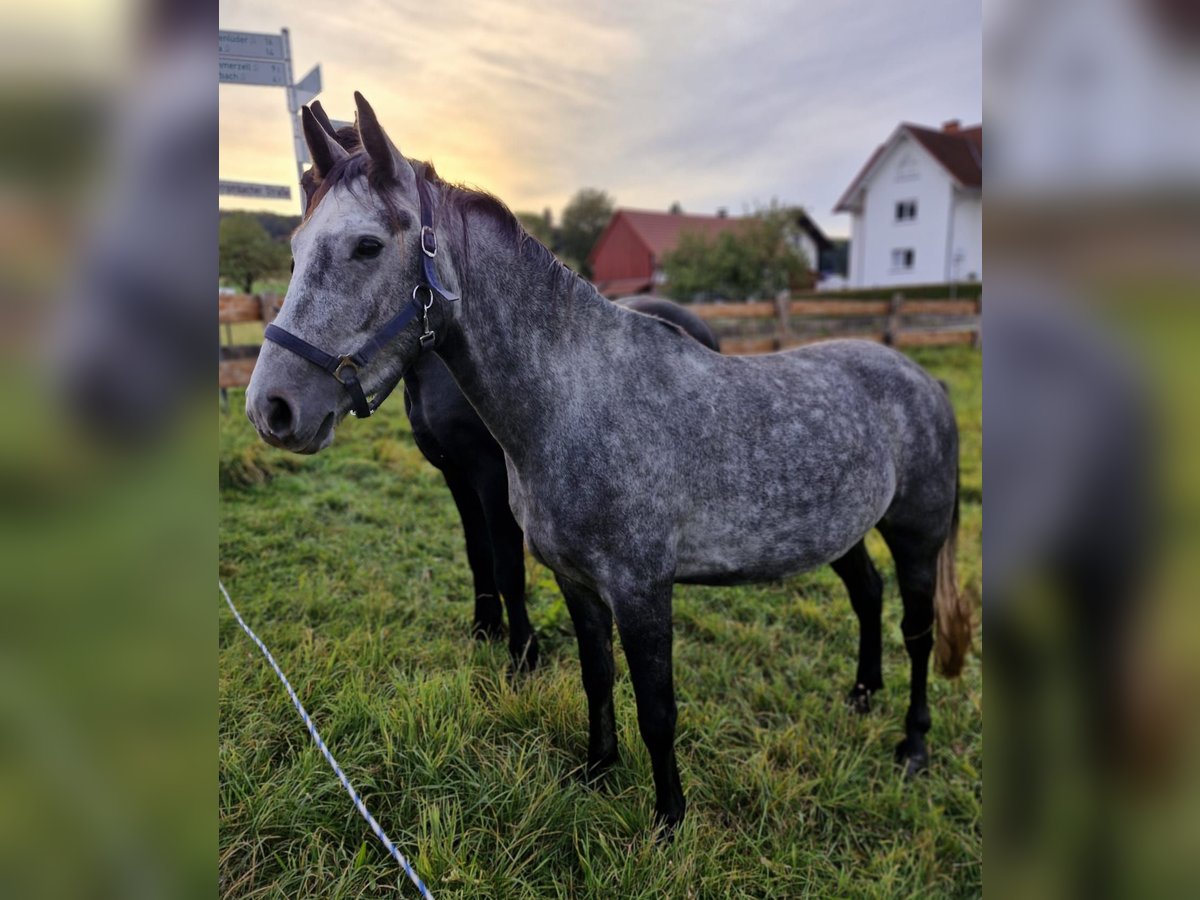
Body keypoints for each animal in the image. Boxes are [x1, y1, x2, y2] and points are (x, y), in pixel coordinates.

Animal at [248, 93, 969, 830]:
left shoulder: (642, 589)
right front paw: (597, 771)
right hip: (838, 533)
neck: (578, 401)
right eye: (296, 249)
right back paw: (861, 693)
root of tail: (923, 381)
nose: (273, 407)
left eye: (366, 246)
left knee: (916, 631)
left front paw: (669, 819)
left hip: (915, 538)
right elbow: (597, 677)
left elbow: (657, 707)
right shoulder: (576, 581)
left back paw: (912, 745)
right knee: (866, 594)